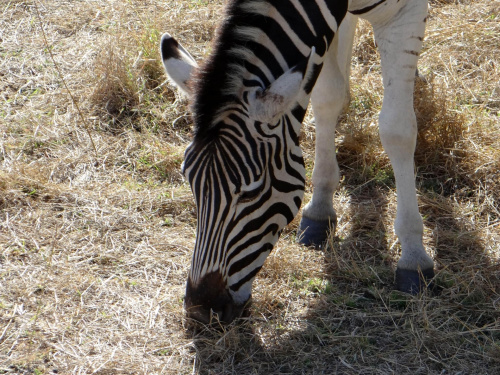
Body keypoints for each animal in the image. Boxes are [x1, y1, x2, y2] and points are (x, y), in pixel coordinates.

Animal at [160, 0, 434, 324]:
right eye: (190, 183)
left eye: (251, 193)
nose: (201, 311)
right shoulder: (322, 30)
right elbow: (327, 98)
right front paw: (320, 208)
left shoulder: (404, 13)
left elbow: (396, 130)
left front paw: (413, 254)